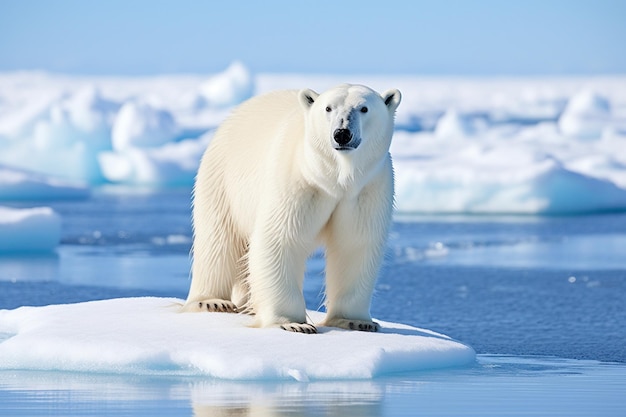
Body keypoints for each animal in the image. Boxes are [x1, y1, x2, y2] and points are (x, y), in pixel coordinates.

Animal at [183, 83, 402, 332]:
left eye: (364, 108)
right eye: (328, 108)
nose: (342, 134)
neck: (336, 180)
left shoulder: (367, 190)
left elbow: (355, 244)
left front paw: (355, 321)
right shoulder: (298, 182)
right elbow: (280, 239)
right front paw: (294, 324)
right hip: (222, 179)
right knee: (219, 239)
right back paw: (212, 301)